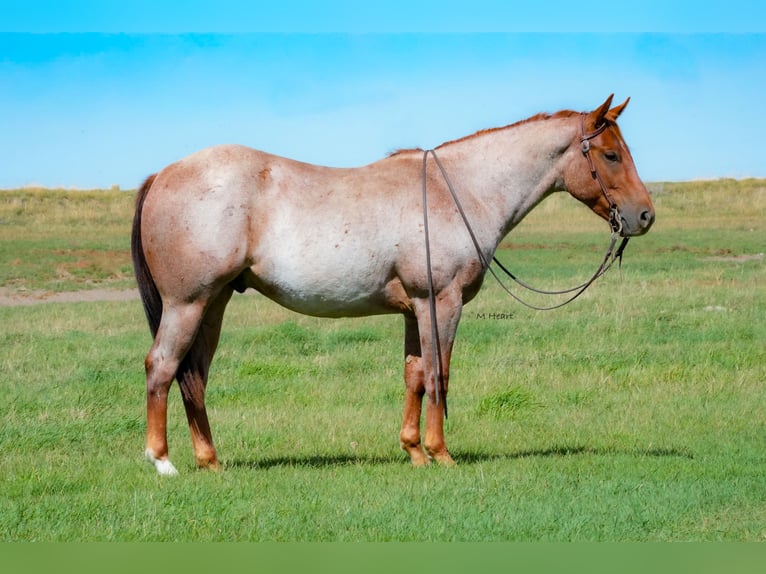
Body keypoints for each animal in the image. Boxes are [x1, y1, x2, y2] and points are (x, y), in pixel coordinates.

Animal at [131, 94, 655, 475]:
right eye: (610, 154)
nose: (644, 216)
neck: (458, 190)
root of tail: (163, 174)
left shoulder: (414, 309)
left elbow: (415, 376)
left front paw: (414, 451)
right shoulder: (441, 302)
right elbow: (440, 374)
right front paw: (442, 454)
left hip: (213, 305)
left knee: (194, 376)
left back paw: (210, 461)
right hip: (188, 304)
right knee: (162, 367)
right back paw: (162, 461)